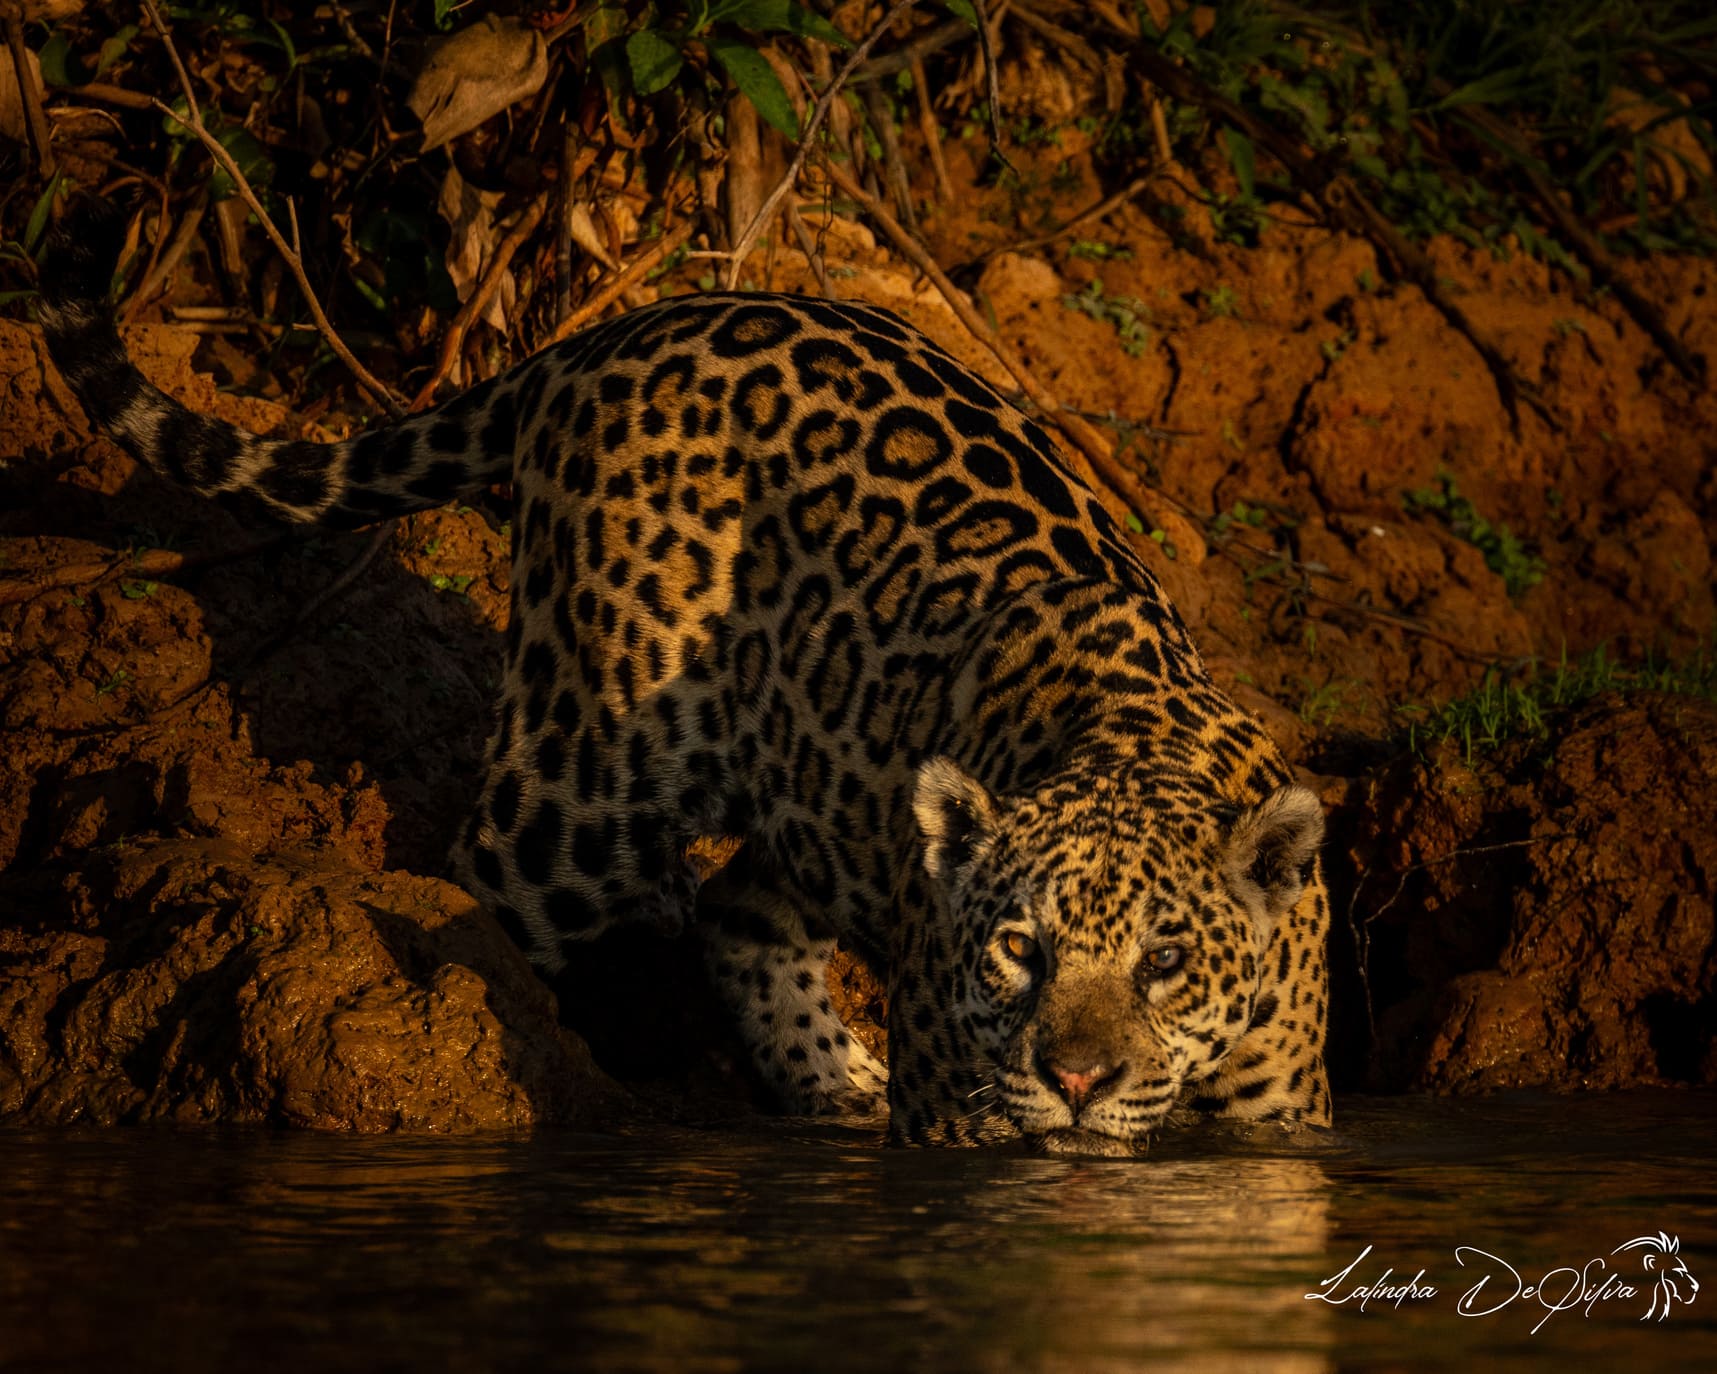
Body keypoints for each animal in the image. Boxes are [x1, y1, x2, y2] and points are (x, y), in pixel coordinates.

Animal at [36, 208, 1331, 1154]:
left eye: (1165, 962)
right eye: (1020, 948)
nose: (1072, 1076)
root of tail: (614, 330)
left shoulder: (1284, 1119)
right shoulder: (960, 1116)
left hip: (821, 793)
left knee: (737, 905)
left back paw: (829, 1082)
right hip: (582, 788)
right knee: (499, 877)